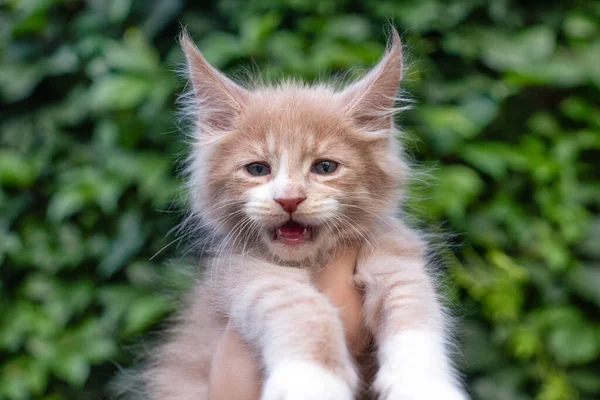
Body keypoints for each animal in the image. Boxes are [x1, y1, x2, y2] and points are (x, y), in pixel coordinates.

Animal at [137, 28, 468, 400]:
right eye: (257, 169)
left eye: (325, 167)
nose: (290, 199)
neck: (315, 259)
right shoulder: (245, 274)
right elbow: (302, 307)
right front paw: (311, 379)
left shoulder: (396, 252)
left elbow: (413, 306)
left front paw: (423, 383)